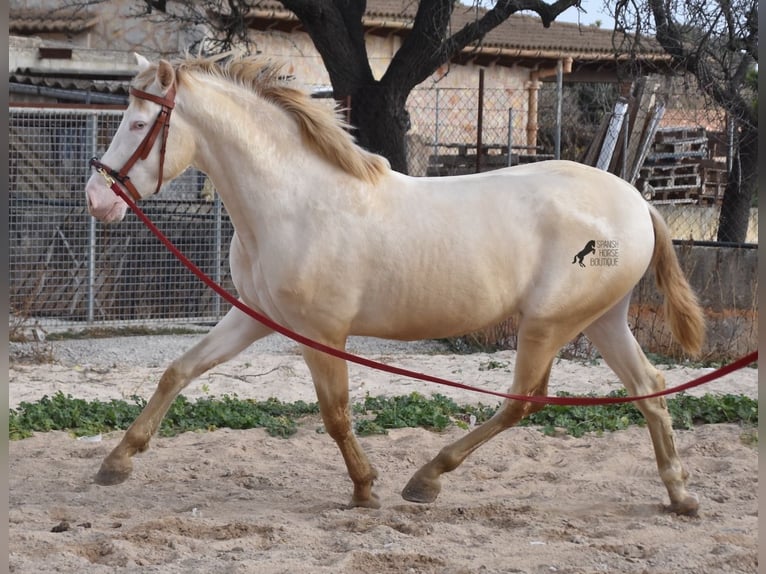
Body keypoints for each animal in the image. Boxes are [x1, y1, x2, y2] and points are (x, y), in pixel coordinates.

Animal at [85, 51, 708, 516]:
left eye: (138, 124)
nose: (97, 199)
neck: (293, 201)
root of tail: (636, 202)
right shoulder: (254, 316)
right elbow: (178, 371)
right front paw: (117, 462)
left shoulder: (322, 331)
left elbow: (335, 413)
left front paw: (365, 488)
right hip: (601, 320)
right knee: (649, 386)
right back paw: (679, 494)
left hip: (549, 325)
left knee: (523, 402)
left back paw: (426, 479)